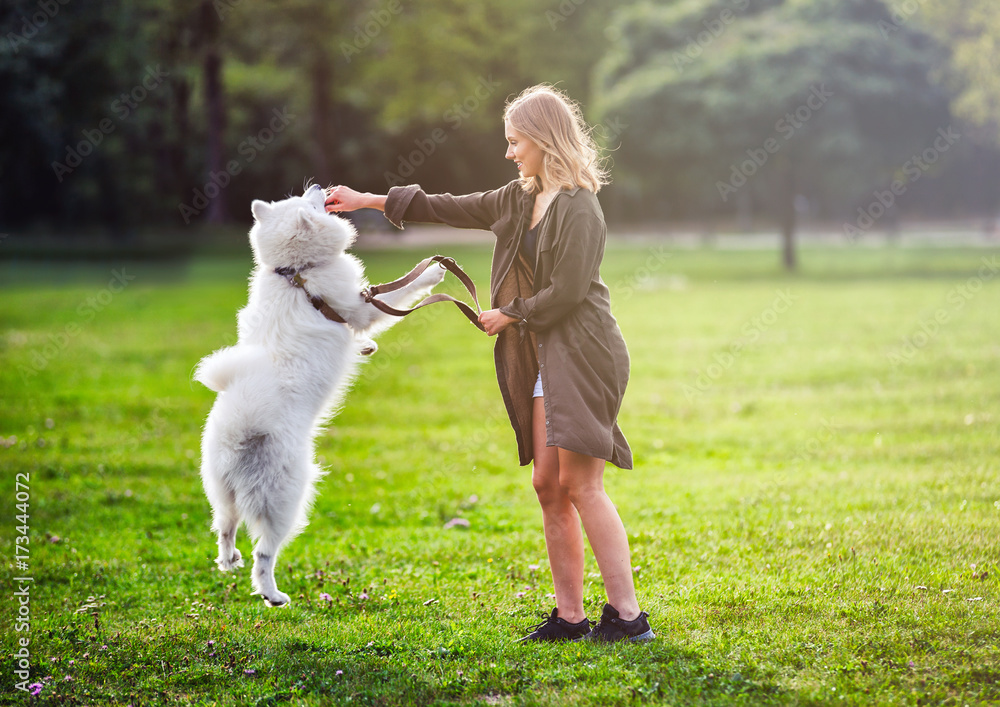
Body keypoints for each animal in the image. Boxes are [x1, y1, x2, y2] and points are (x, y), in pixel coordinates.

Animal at [196, 185, 446, 604]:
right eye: (308, 202)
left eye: (300, 195)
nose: (320, 188)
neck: (298, 273)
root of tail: (239, 433)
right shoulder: (360, 308)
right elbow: (400, 293)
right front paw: (432, 270)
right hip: (289, 498)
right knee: (263, 553)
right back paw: (273, 595)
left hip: (221, 490)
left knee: (225, 526)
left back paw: (228, 560)